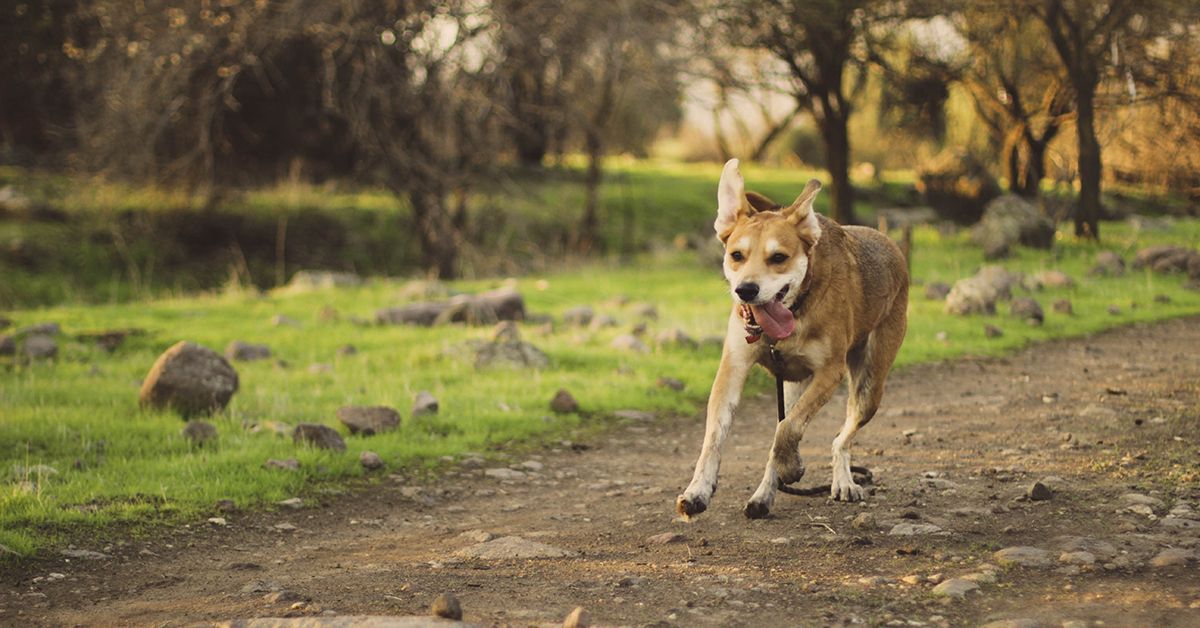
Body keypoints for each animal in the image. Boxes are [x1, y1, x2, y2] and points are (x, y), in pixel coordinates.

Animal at [676, 158, 907, 521]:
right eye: (737, 255)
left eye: (779, 257)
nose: (746, 290)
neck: (796, 311)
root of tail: (890, 243)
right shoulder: (733, 367)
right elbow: (714, 436)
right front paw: (698, 491)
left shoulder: (829, 372)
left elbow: (789, 428)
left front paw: (791, 465)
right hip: (793, 383)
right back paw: (763, 497)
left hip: (870, 385)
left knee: (839, 438)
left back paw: (839, 480)